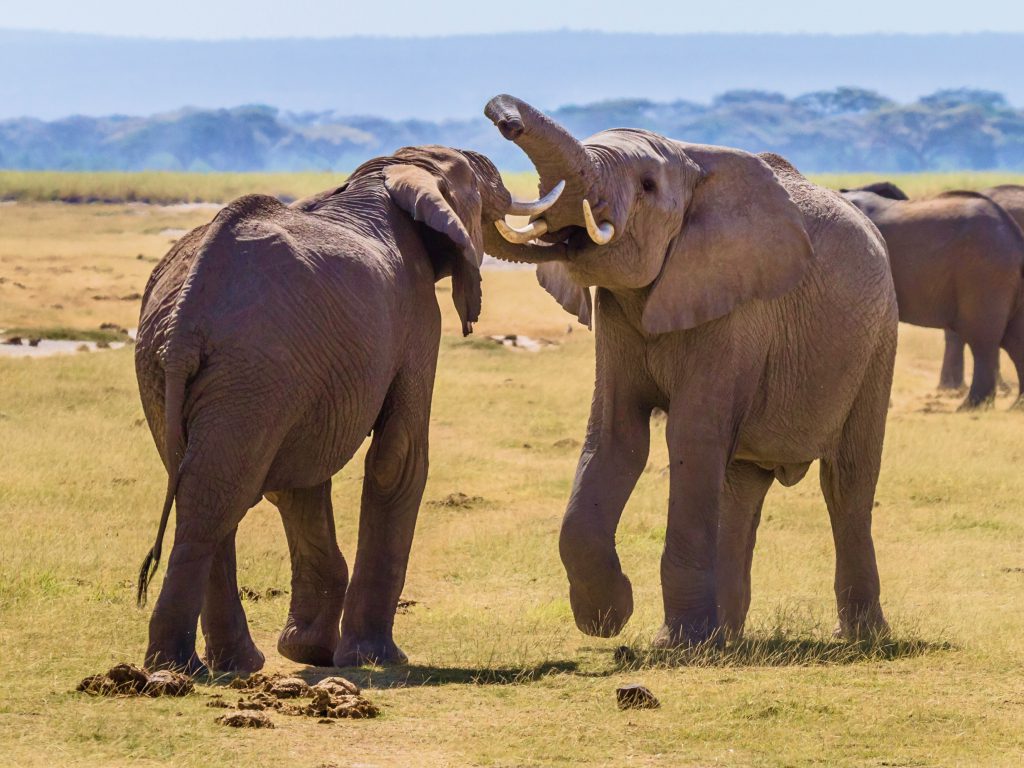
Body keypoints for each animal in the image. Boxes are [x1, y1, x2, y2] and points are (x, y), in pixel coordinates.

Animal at [134, 144, 558, 673]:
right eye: (478, 187)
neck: (386, 175)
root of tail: (188, 311)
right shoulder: (419, 316)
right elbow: (398, 457)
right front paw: (375, 657)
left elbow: (301, 481)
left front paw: (308, 651)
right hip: (253, 367)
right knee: (215, 496)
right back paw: (178, 668)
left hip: (172, 366)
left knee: (207, 486)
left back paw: (230, 665)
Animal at [480, 94, 898, 646]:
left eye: (647, 186)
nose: (500, 112)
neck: (689, 161)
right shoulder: (616, 314)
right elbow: (615, 437)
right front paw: (609, 619)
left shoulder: (737, 311)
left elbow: (690, 436)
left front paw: (674, 643)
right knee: (741, 488)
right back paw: (728, 639)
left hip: (877, 341)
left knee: (847, 480)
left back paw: (861, 638)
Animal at [841, 184, 1024, 408]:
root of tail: (1015, 236)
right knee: (1014, 338)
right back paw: (1016, 404)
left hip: (984, 273)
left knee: (983, 340)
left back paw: (970, 407)